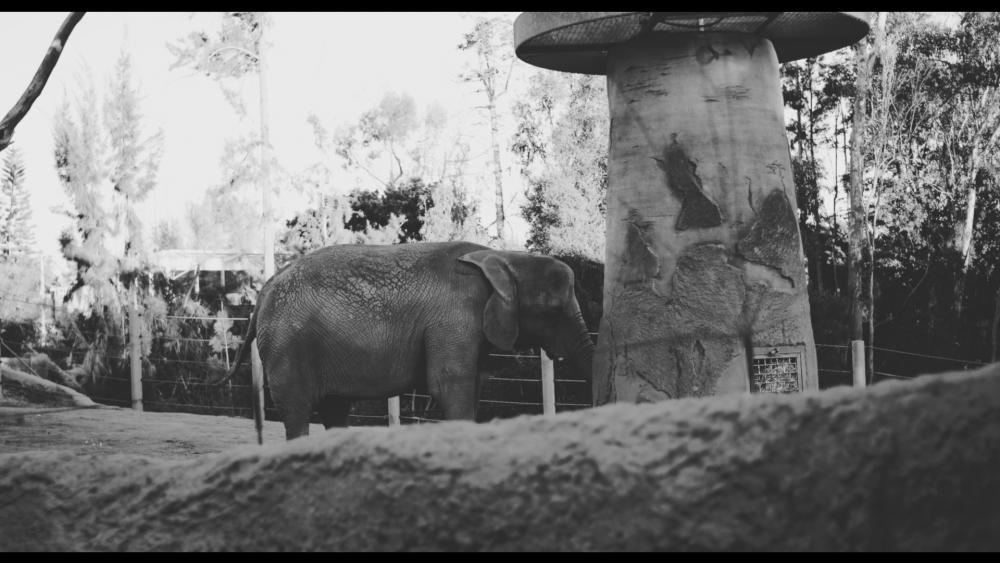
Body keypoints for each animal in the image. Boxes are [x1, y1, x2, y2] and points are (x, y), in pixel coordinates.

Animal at [223, 241, 595, 442]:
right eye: (552, 309)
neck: (502, 257)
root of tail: (264, 292)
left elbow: (472, 385)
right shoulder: (454, 320)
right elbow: (448, 386)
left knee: (335, 409)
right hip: (288, 346)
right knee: (298, 411)